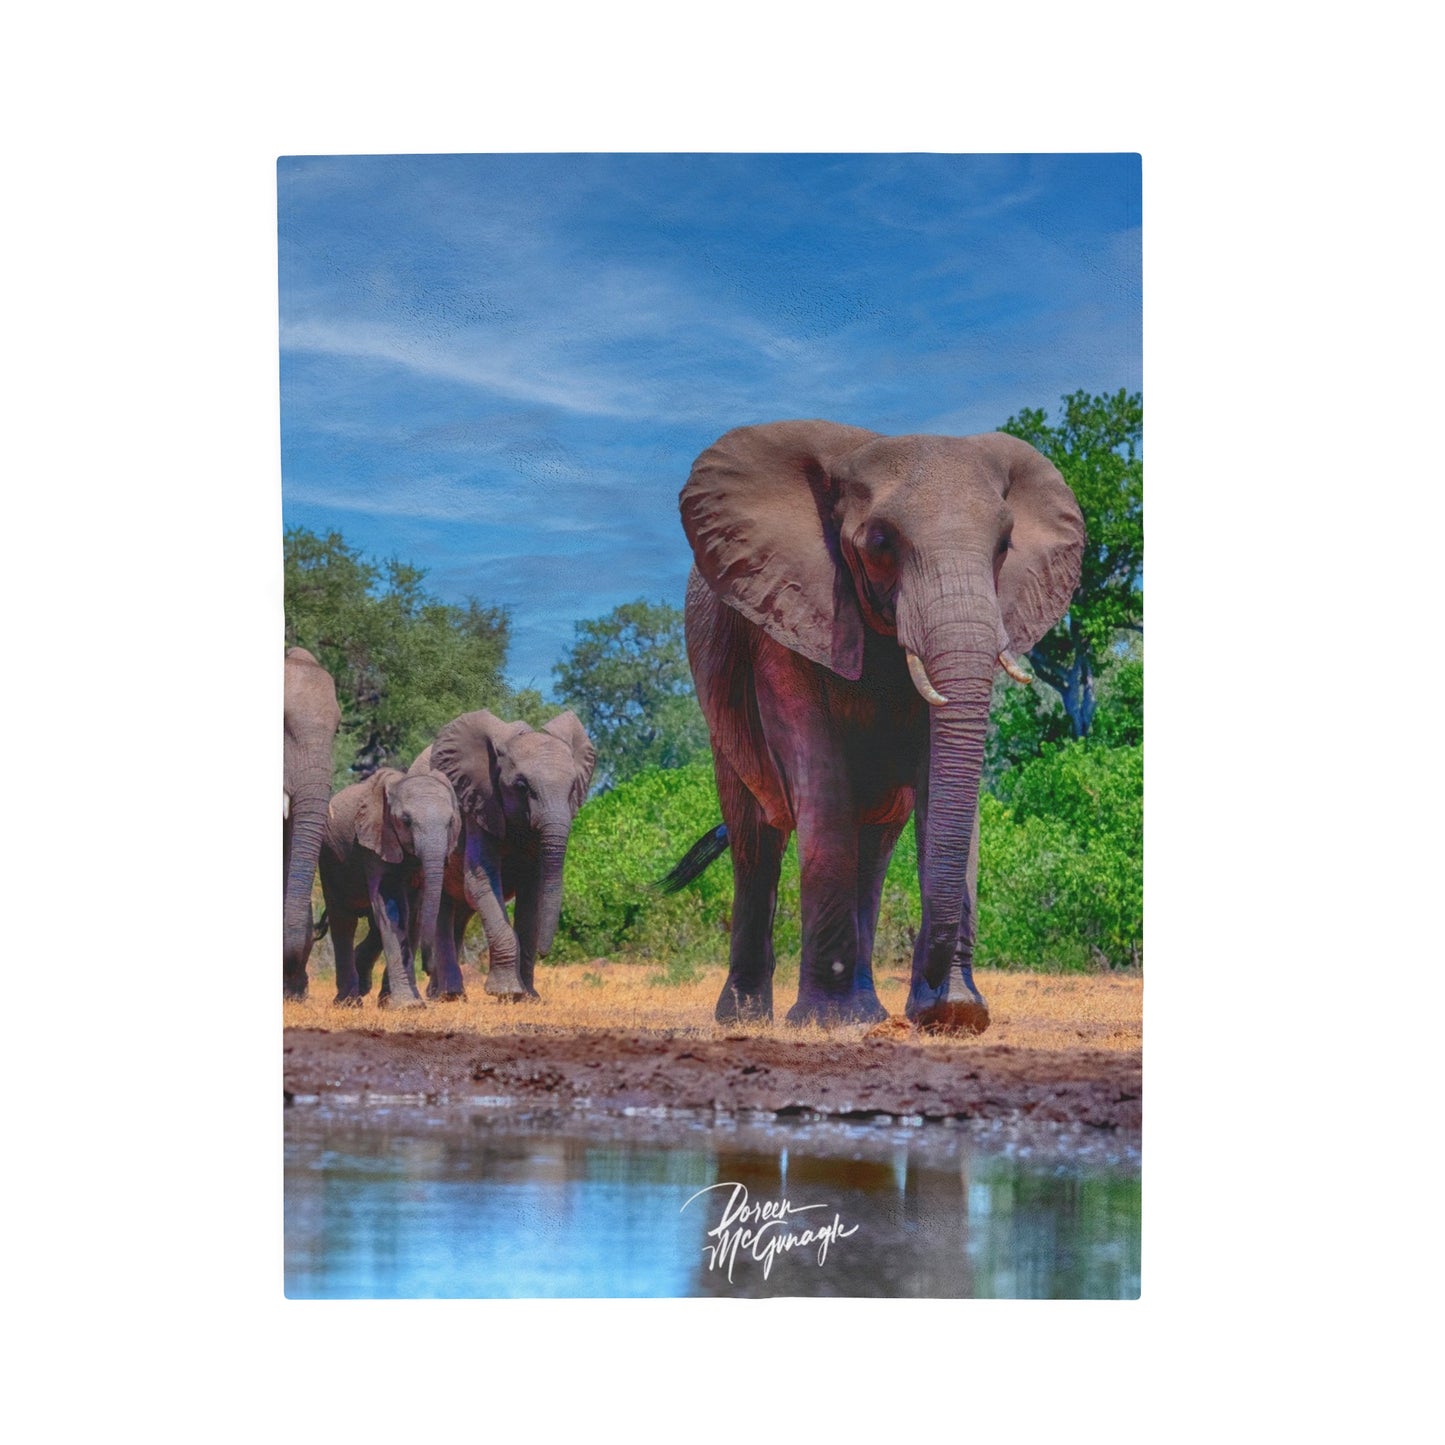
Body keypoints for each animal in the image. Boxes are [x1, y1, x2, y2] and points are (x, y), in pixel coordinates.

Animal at [317, 765, 462, 1007]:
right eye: (406, 821)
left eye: (451, 822)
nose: (428, 968)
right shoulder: (375, 840)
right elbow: (392, 906)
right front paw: (408, 1006)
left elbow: (414, 914)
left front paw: (405, 1004)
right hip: (329, 858)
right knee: (343, 921)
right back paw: (349, 1002)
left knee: (375, 924)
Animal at [424, 709, 596, 1001]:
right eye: (522, 786)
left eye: (574, 787)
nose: (545, 953)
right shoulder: (479, 804)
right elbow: (481, 881)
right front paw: (505, 992)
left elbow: (533, 893)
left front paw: (528, 997)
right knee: (443, 910)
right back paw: (448, 996)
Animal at [670, 420, 1083, 1031]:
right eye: (881, 544)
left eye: (1004, 547)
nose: (938, 1002)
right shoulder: (786, 614)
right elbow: (820, 779)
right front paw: (827, 1022)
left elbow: (940, 784)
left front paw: (954, 1012)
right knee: (756, 840)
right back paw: (747, 1019)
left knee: (874, 846)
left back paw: (868, 1010)